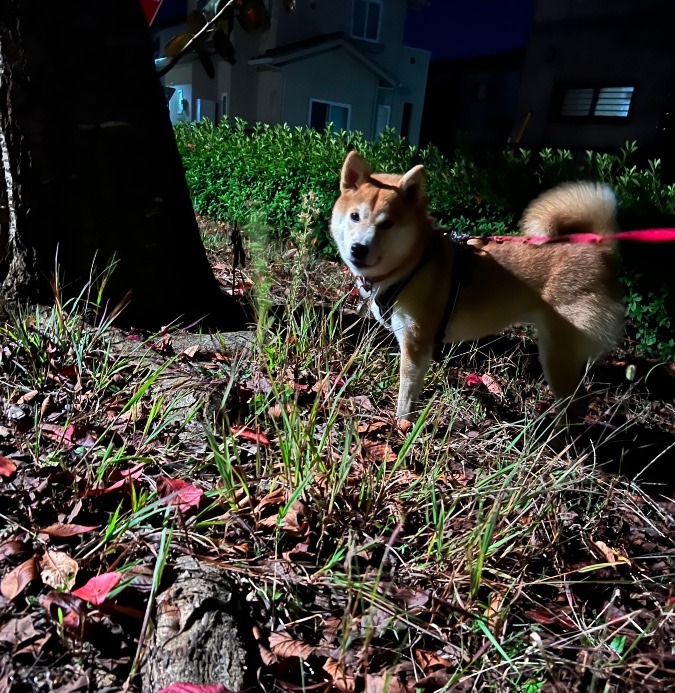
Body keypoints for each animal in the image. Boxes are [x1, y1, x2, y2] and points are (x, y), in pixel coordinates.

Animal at [332, 151, 628, 422]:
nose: (358, 248)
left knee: (576, 407)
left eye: (387, 224)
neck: (414, 263)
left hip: (557, 357)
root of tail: (600, 250)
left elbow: (406, 396)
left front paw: (402, 427)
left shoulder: (416, 345)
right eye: (355, 216)